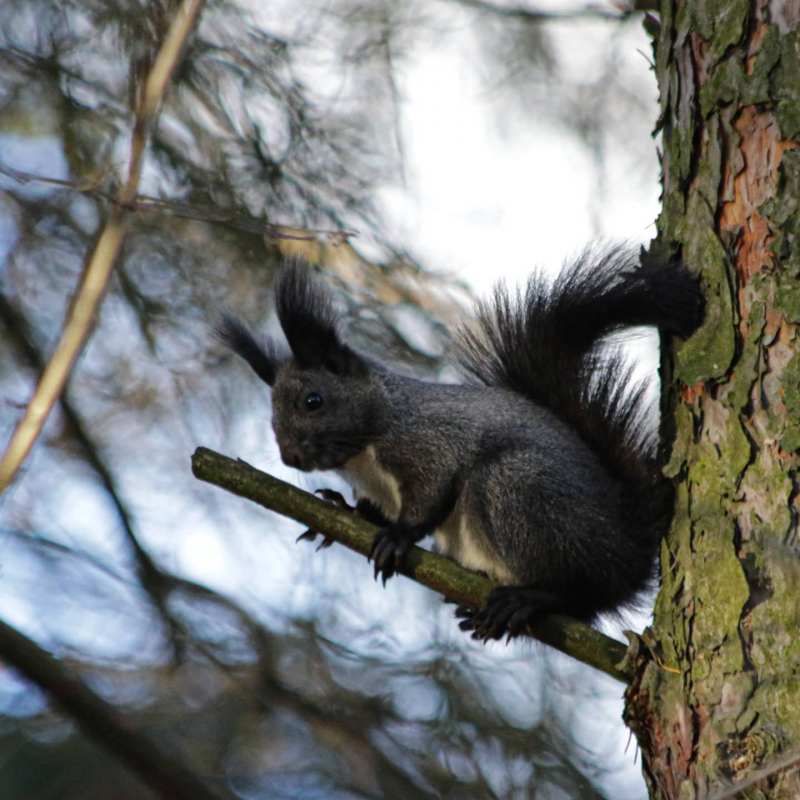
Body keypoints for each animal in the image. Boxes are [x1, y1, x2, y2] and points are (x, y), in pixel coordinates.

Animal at [217, 252, 700, 644]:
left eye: (313, 401)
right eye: (271, 413)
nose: (290, 457)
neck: (366, 450)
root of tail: (628, 553)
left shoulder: (429, 444)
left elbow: (430, 496)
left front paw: (397, 537)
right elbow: (370, 510)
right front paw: (340, 510)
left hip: (519, 489)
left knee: (584, 592)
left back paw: (534, 599)